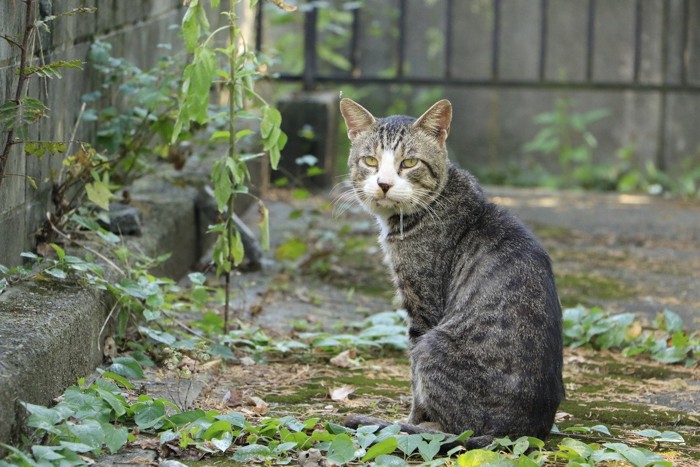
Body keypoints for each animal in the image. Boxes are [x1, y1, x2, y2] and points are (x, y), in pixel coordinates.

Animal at [338, 98, 564, 450]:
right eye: (370, 161)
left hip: (434, 344)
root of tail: (519, 432)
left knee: (457, 429)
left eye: (409, 163)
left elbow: (415, 389)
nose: (384, 184)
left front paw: (409, 422)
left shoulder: (422, 310)